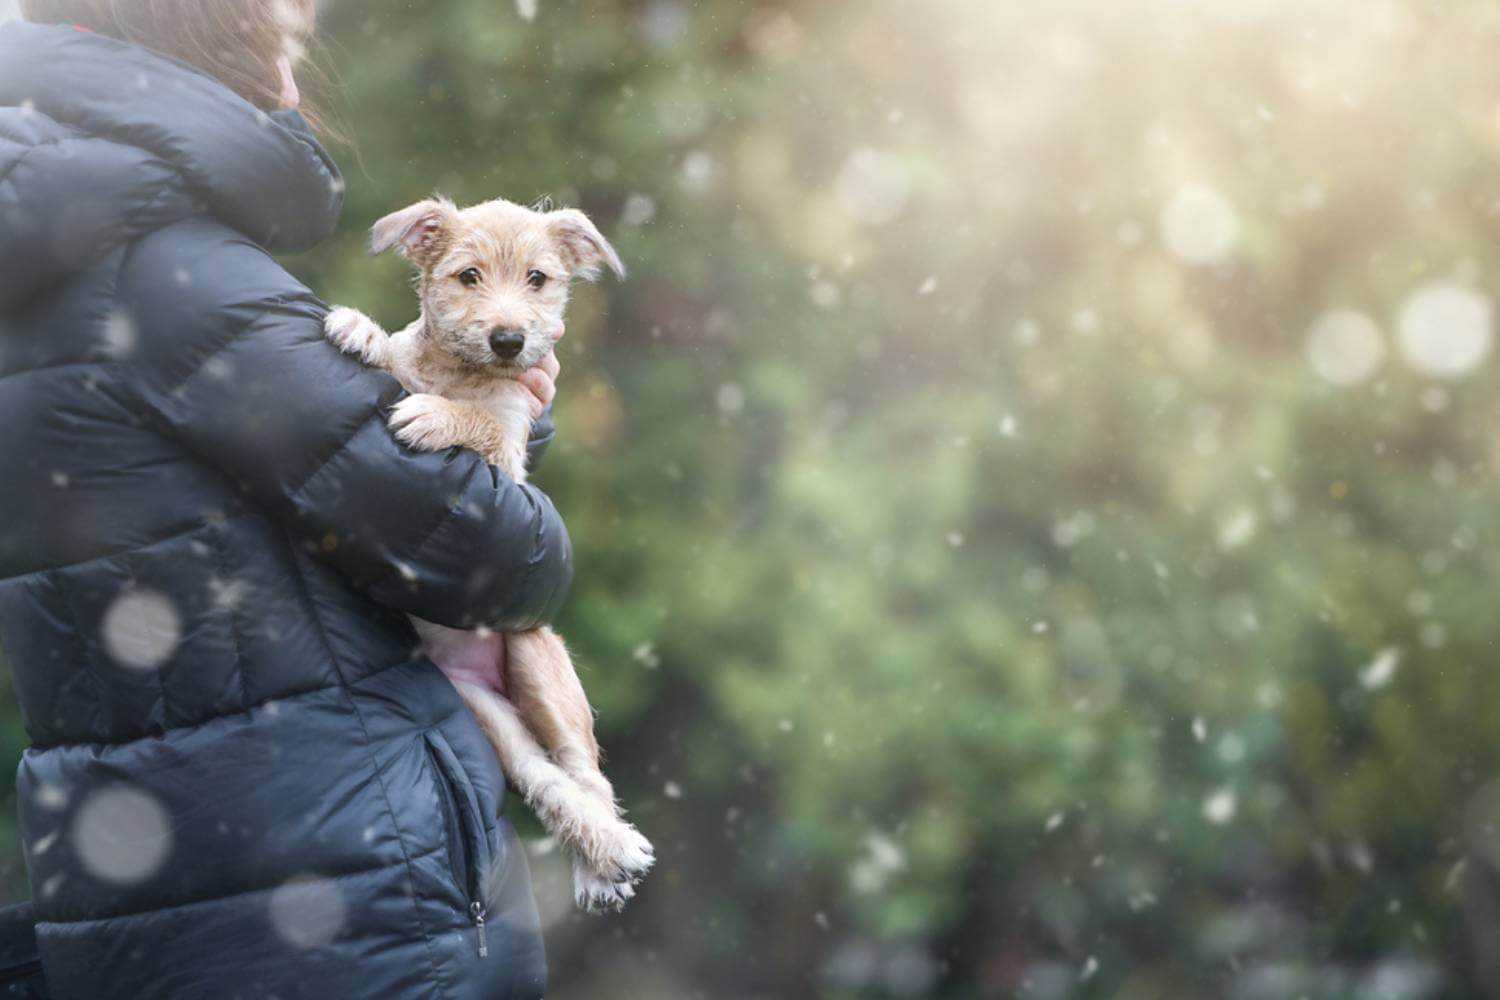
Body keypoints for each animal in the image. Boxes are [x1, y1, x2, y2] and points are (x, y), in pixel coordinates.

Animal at [325, 194, 654, 917]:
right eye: (468, 276)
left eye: (538, 279)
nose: (509, 340)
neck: (463, 373)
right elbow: (396, 358)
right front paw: (360, 328)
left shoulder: (505, 461)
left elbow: (473, 420)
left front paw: (433, 415)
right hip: (485, 711)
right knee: (541, 776)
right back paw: (600, 853)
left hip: (537, 656)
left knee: (584, 771)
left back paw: (609, 856)